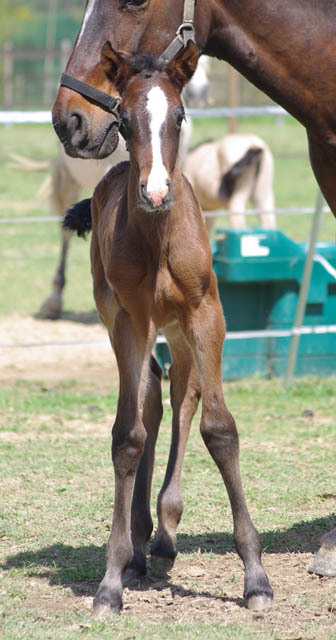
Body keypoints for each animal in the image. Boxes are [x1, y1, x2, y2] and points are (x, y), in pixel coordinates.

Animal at [52, 1, 336, 580]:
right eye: (125, 119)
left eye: (133, 3)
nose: (69, 121)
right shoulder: (132, 317)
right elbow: (132, 425)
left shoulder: (207, 311)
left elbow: (216, 425)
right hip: (129, 318)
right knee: (150, 395)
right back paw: (143, 536)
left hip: (180, 324)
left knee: (180, 391)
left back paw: (159, 531)